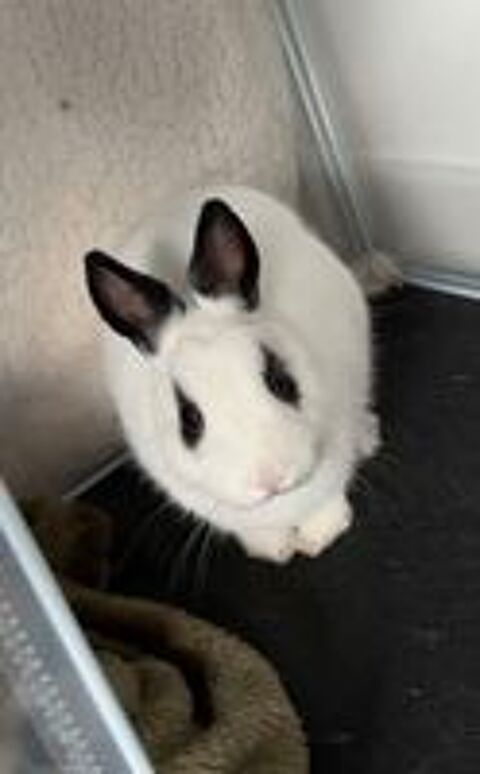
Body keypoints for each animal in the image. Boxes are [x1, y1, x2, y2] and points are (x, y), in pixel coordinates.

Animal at [85, 186, 379, 563]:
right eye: (189, 420)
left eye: (281, 383)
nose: (271, 479)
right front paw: (273, 551)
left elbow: (325, 499)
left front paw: (321, 537)